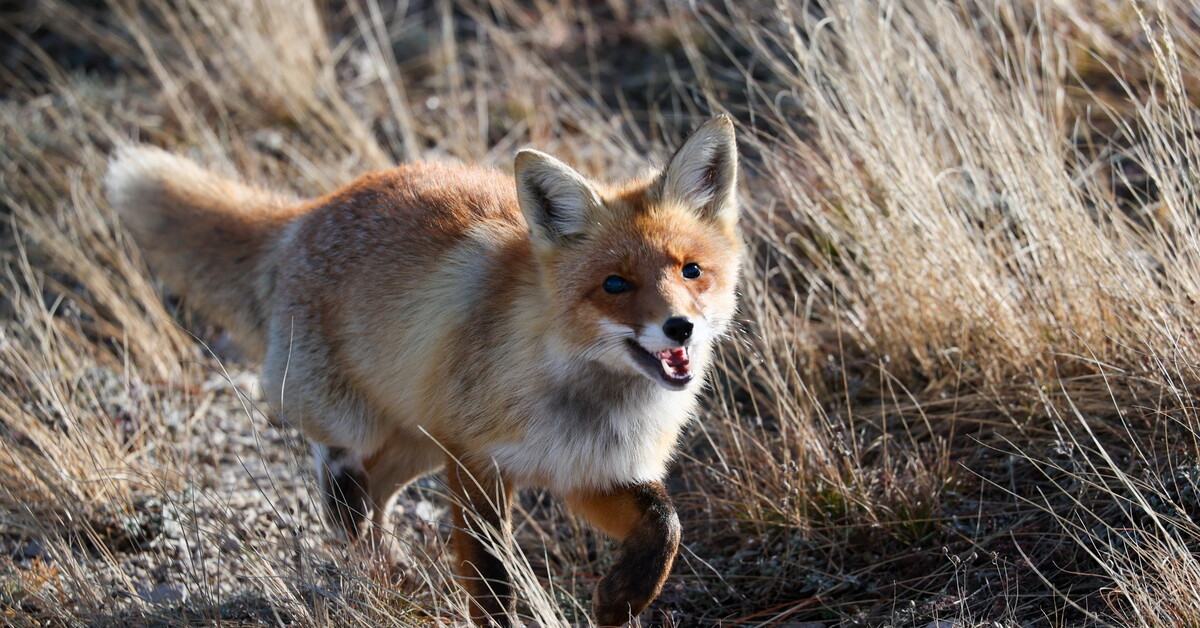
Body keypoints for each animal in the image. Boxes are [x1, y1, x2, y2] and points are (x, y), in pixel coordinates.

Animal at [105, 116, 739, 624]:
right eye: (614, 284)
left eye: (690, 270)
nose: (679, 327)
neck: (581, 393)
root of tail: (307, 212)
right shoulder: (476, 463)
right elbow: (491, 578)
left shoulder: (589, 472)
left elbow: (665, 526)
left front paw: (622, 598)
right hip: (366, 420)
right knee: (338, 472)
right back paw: (364, 534)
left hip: (420, 440)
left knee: (373, 495)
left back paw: (390, 571)